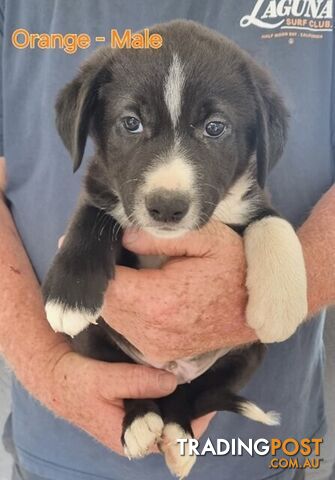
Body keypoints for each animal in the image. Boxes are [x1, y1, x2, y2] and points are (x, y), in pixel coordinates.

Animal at [43, 19, 308, 480]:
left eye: (215, 127)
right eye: (131, 123)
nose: (166, 207)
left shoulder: (250, 199)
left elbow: (272, 222)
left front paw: (280, 304)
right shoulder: (103, 189)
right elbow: (93, 218)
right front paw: (69, 294)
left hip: (245, 356)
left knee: (192, 396)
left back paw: (179, 435)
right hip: (95, 340)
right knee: (132, 381)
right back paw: (140, 420)